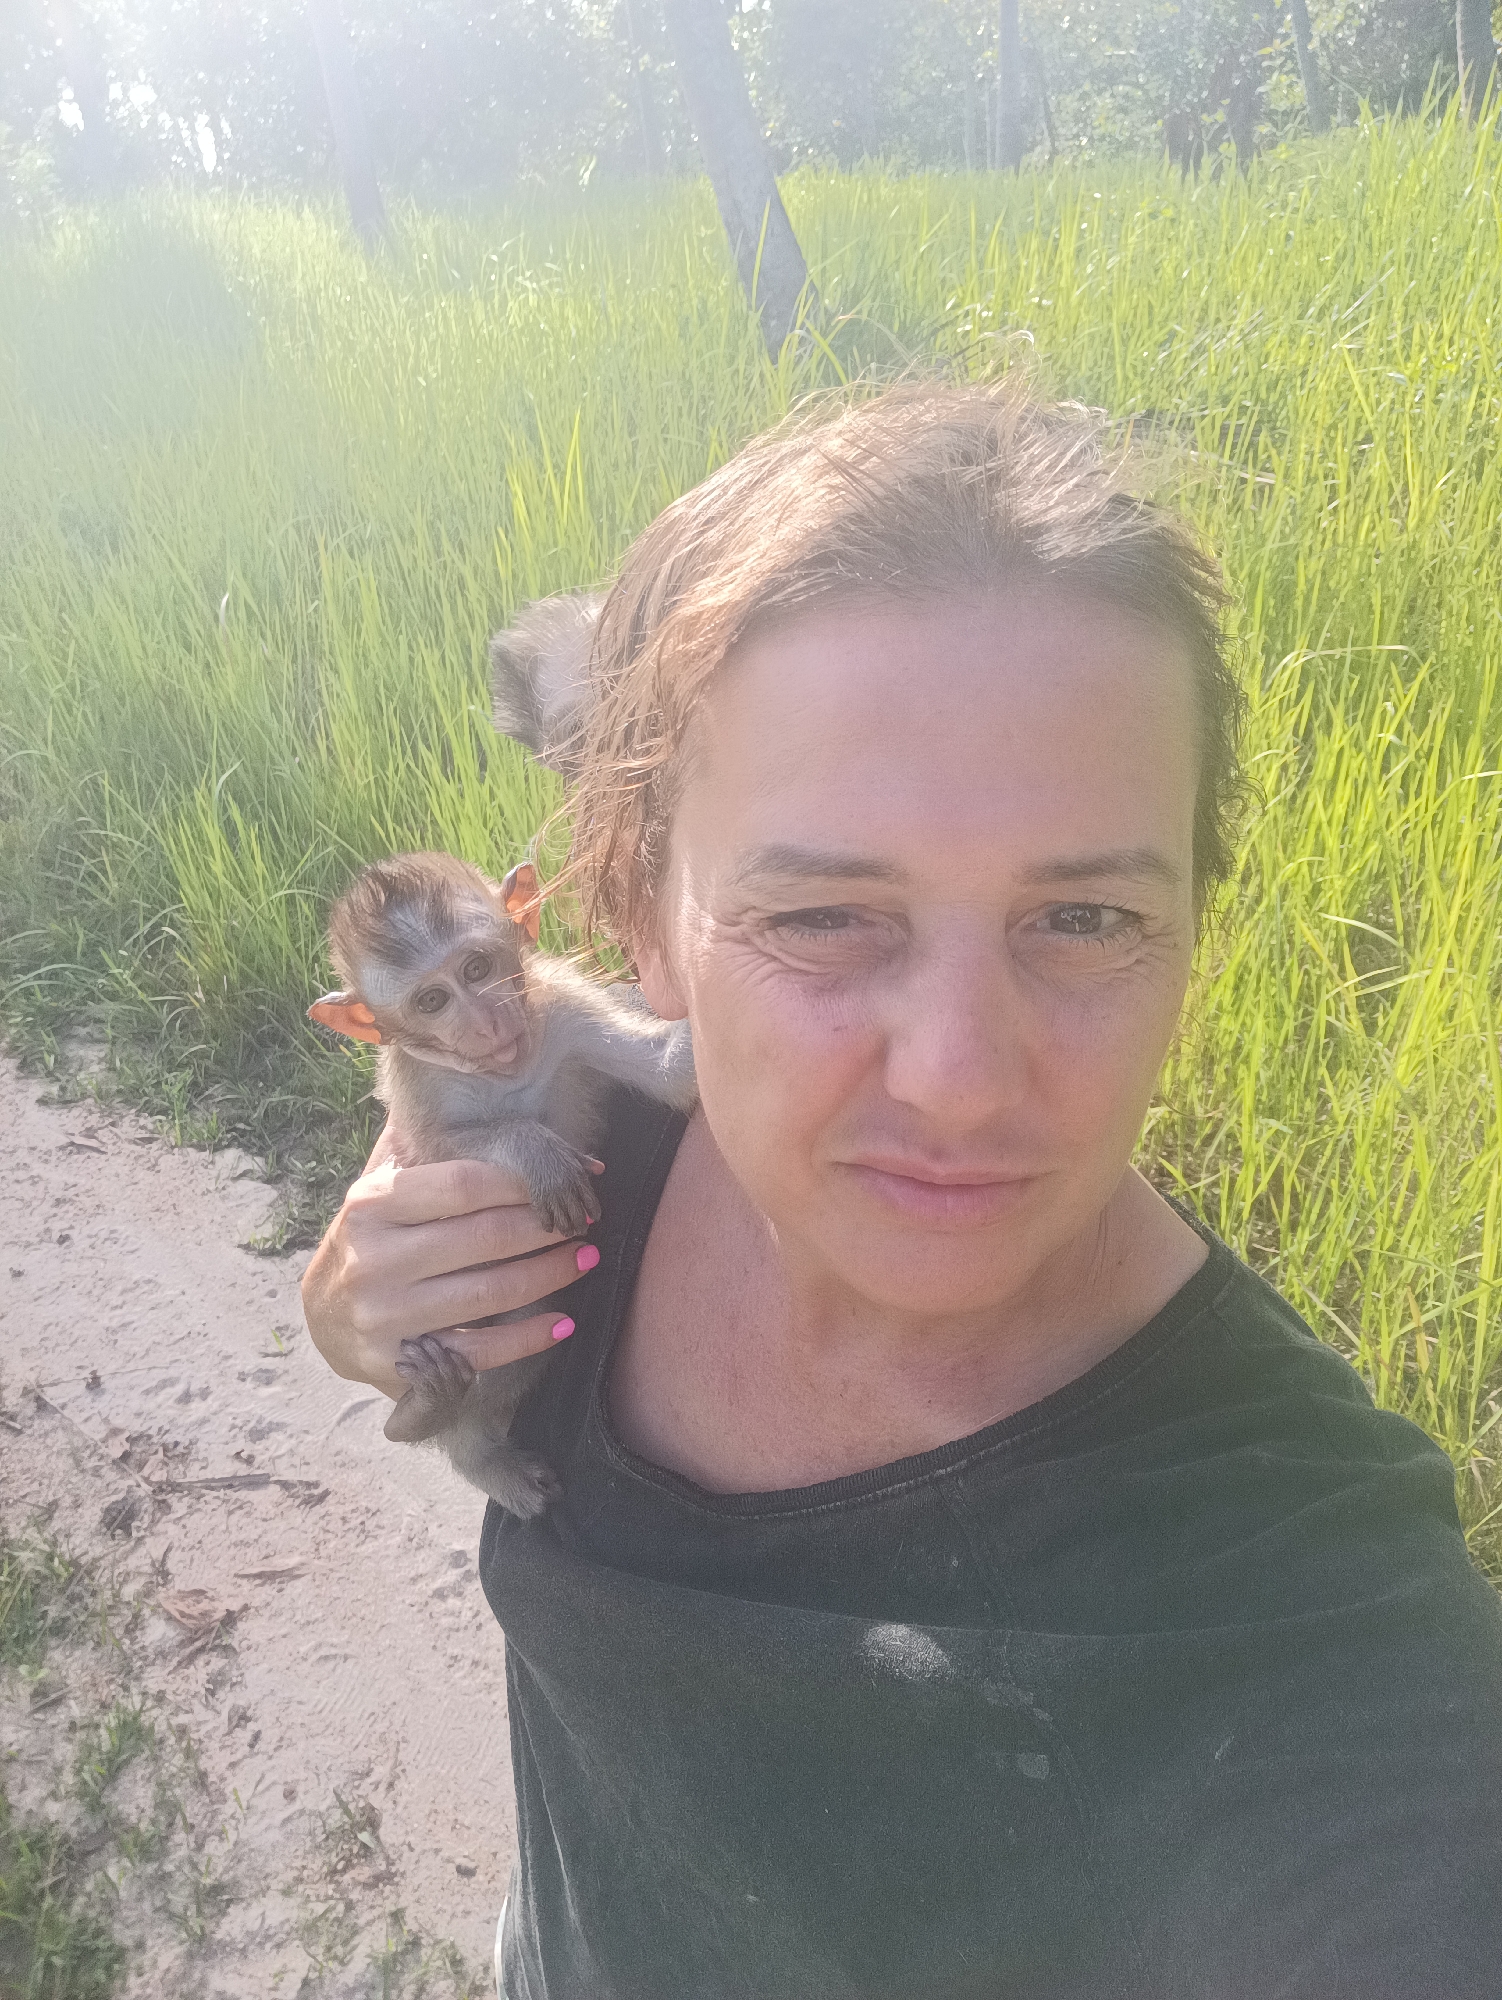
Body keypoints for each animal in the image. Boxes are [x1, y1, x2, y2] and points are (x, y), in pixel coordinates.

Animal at [308, 848, 695, 1517]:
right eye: (432, 1001)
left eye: (477, 967)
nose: (487, 1023)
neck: (500, 1074)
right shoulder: (419, 1079)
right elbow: (432, 1152)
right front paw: (533, 1150)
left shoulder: (560, 1008)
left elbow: (669, 1072)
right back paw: (427, 1418)